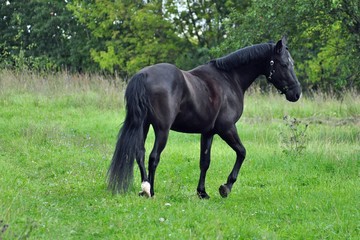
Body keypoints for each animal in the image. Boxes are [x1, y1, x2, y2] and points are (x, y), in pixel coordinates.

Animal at [108, 36, 302, 199]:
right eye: (284, 64)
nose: (296, 93)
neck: (229, 79)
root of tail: (144, 75)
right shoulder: (227, 128)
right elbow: (242, 152)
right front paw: (226, 187)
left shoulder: (208, 132)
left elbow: (205, 162)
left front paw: (202, 192)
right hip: (162, 129)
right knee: (153, 157)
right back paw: (151, 191)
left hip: (143, 125)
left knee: (139, 153)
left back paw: (144, 188)